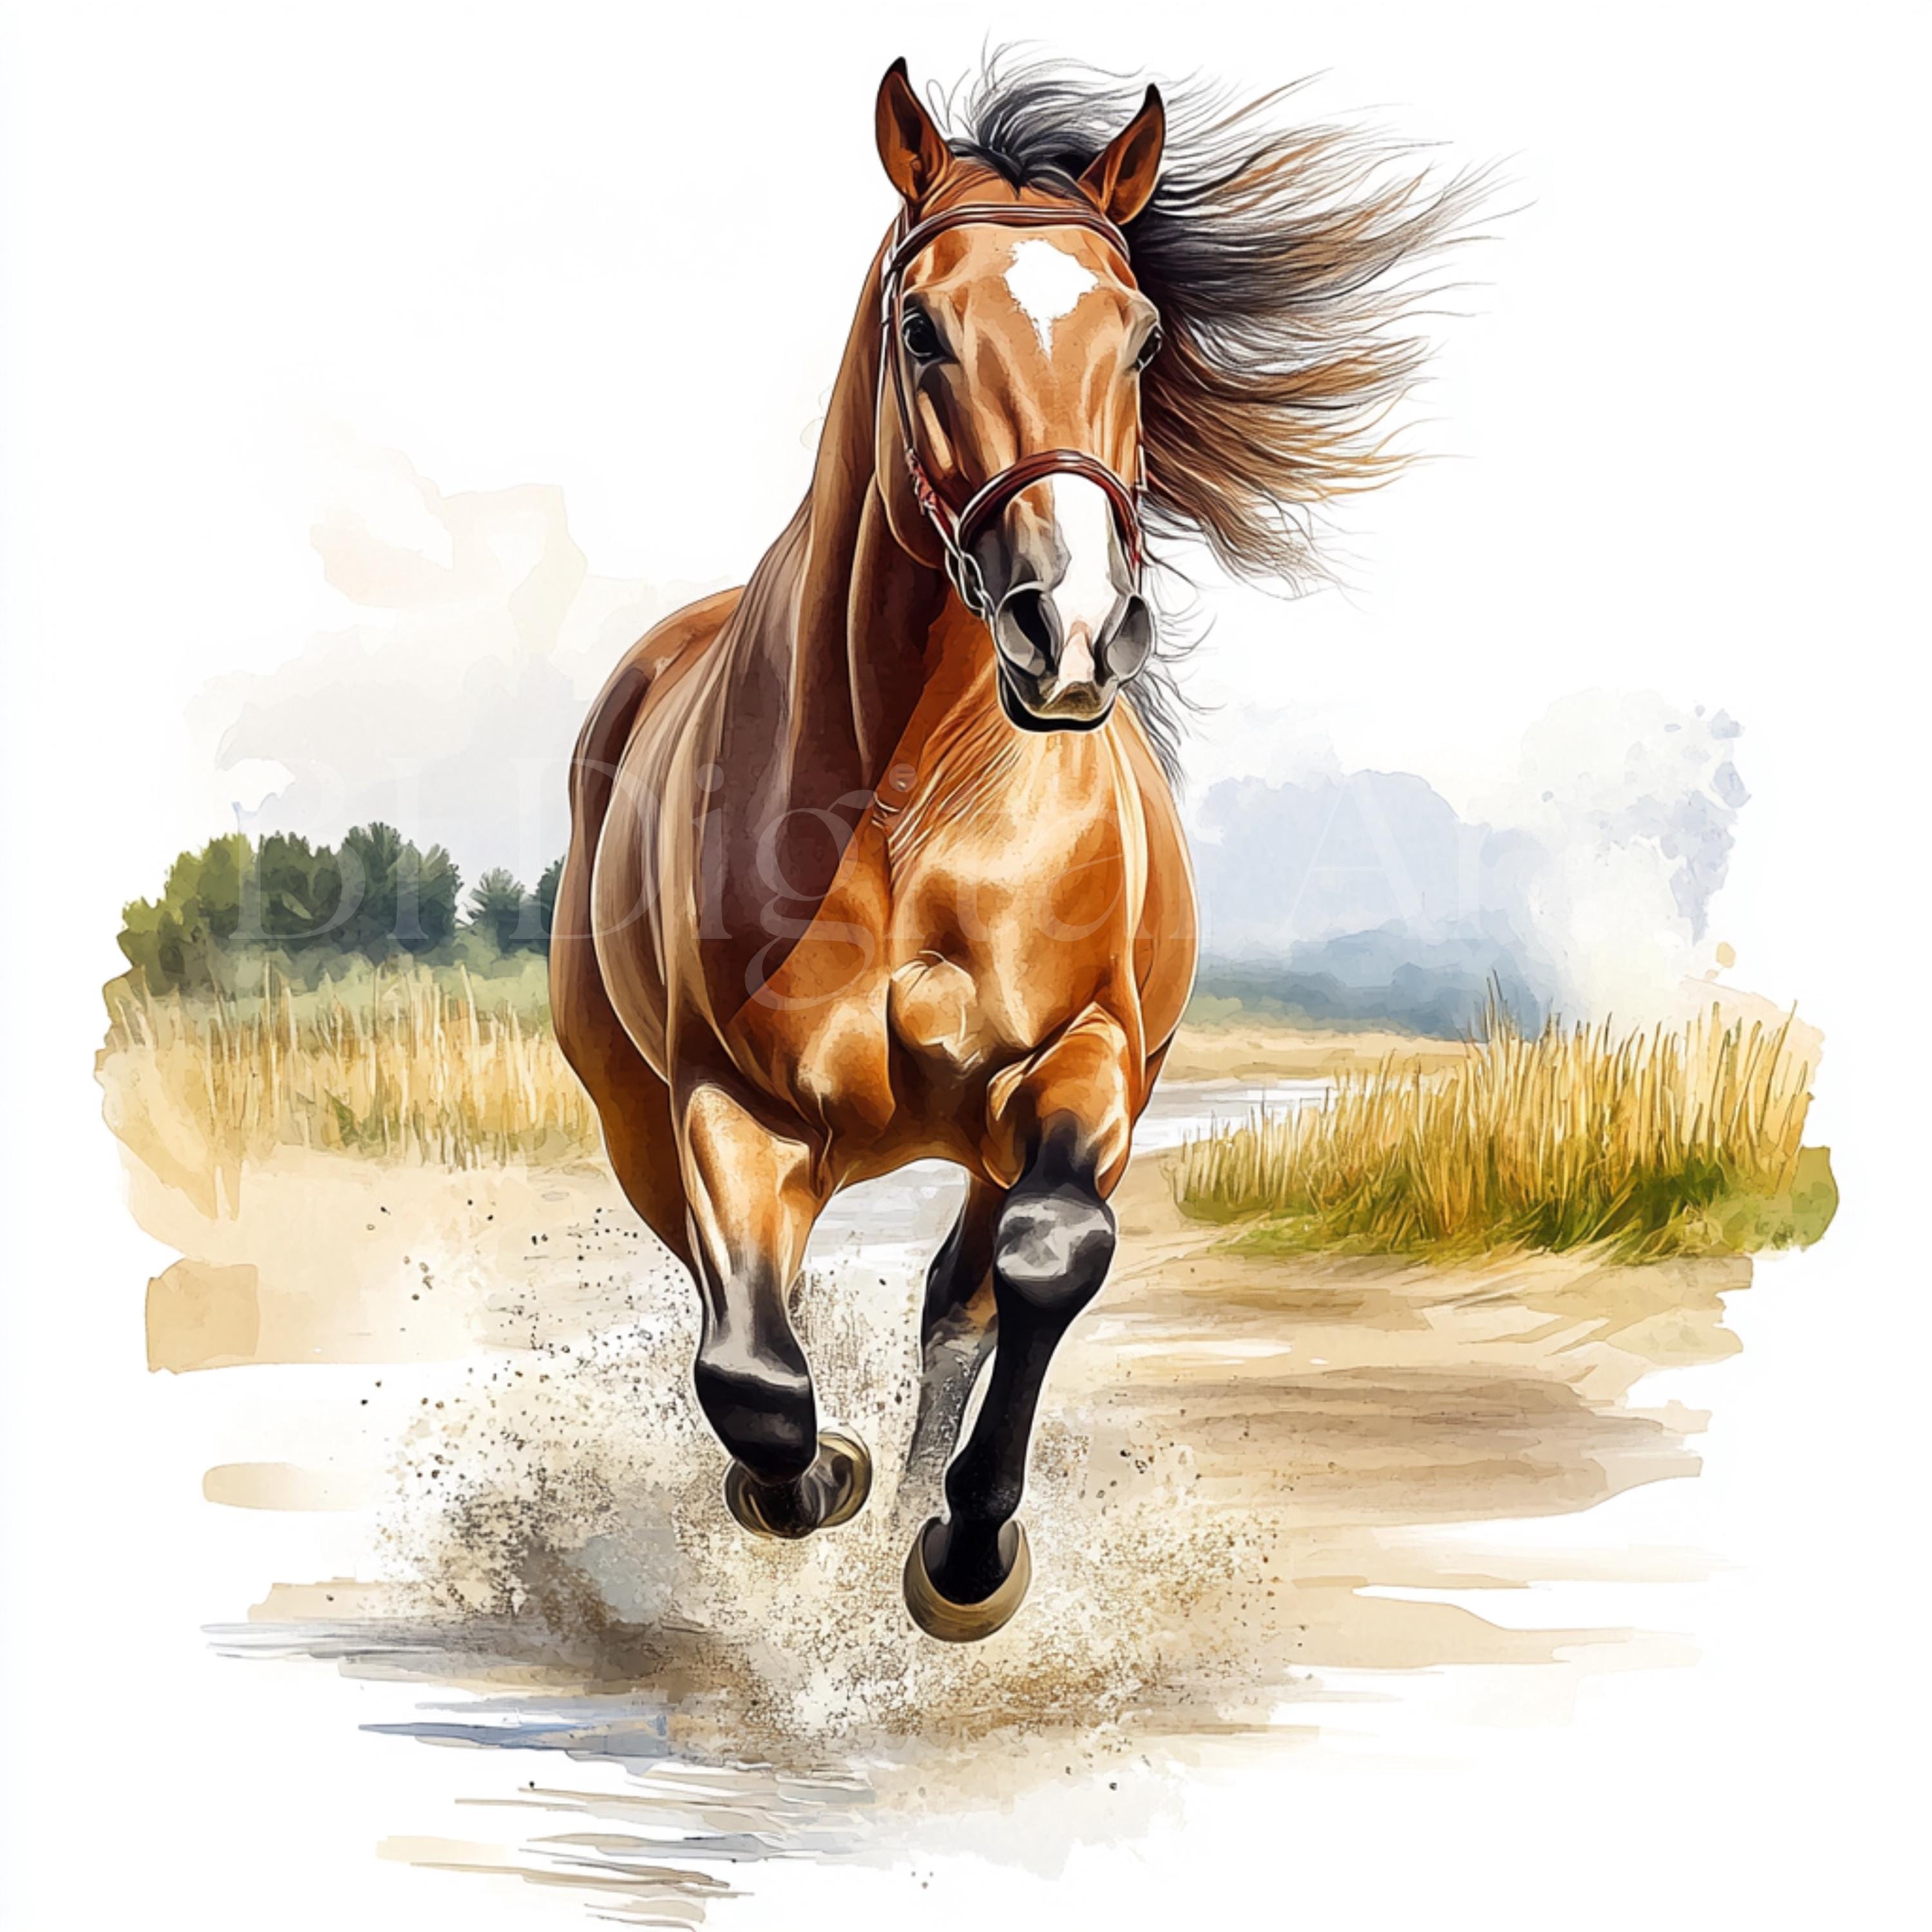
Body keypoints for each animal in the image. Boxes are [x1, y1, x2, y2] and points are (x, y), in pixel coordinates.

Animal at [553, 58, 1473, 1640]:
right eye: (922, 329)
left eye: (1144, 334)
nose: (1075, 630)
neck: (913, 801)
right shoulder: (731, 1104)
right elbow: (755, 1377)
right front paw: (821, 1484)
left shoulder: (1081, 1059)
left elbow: (1049, 1261)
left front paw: (964, 1552)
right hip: (628, 1112)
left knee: (965, 1292)